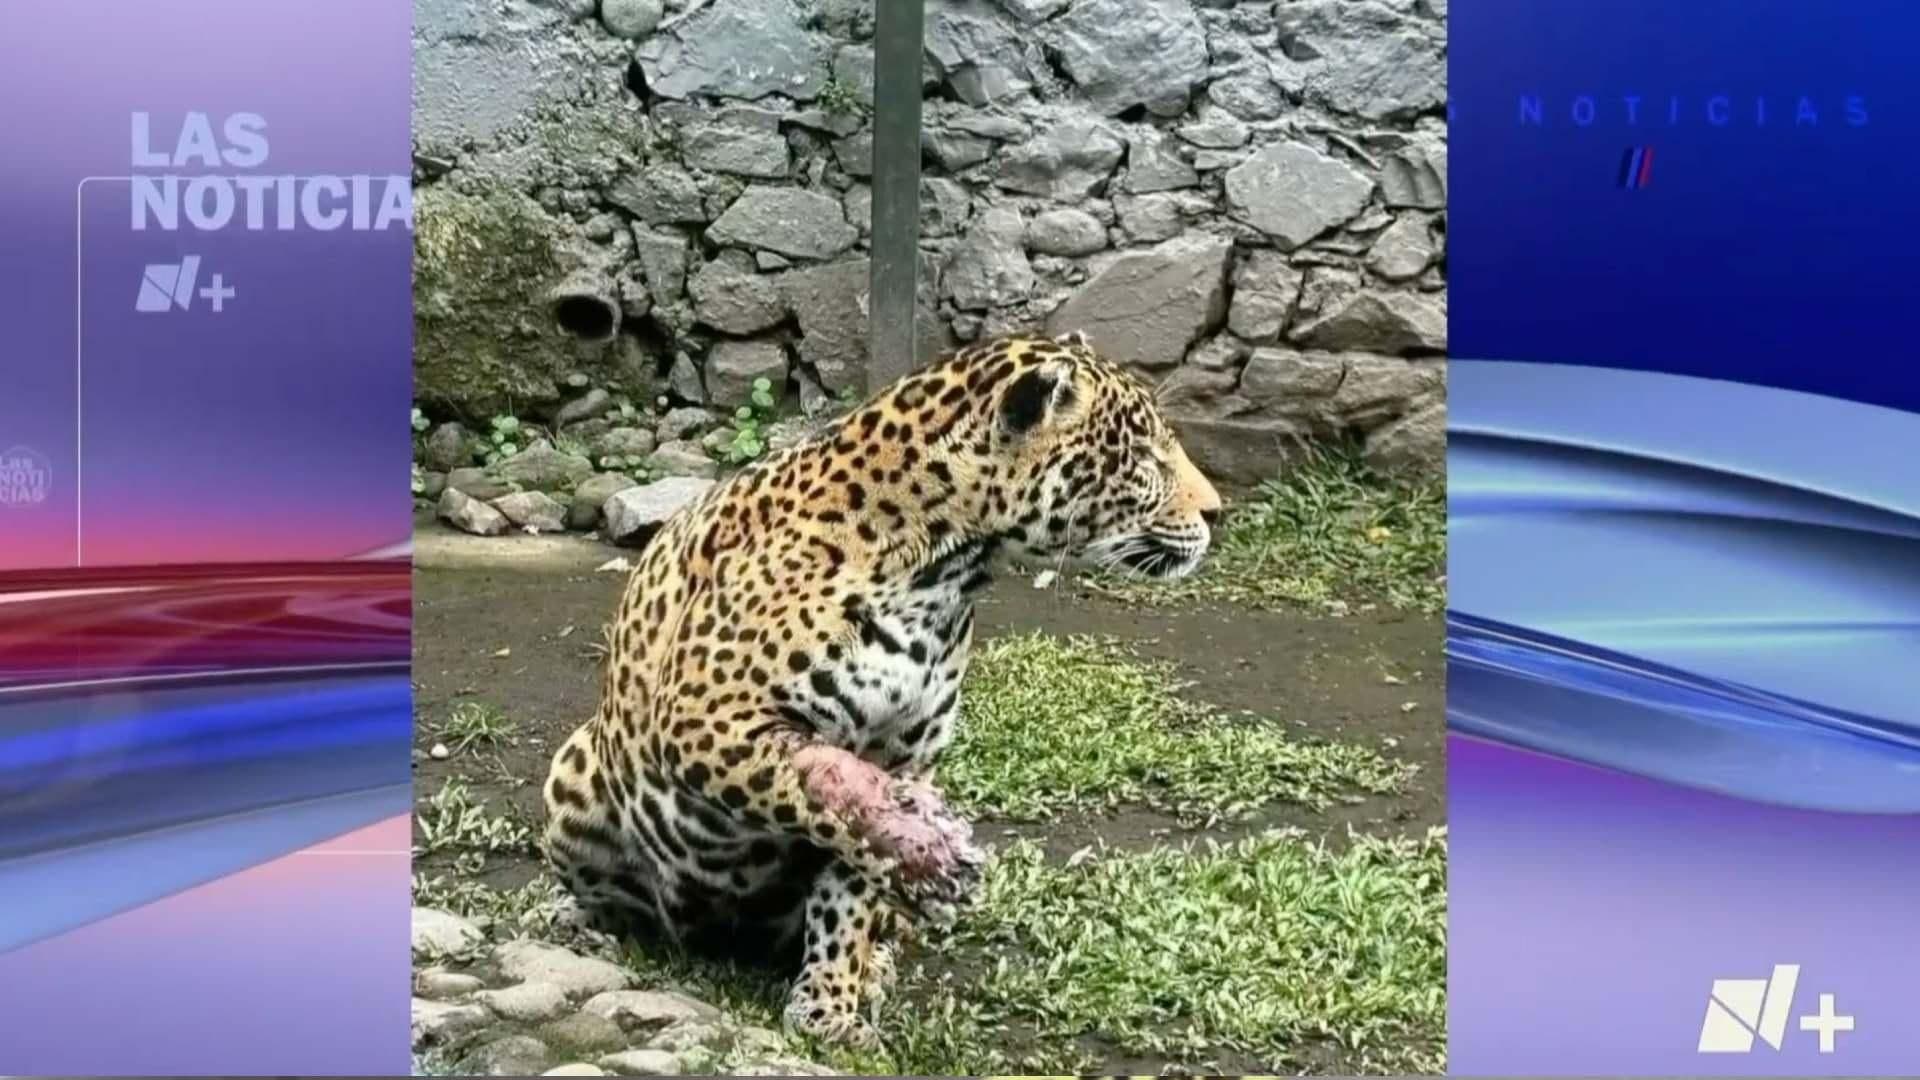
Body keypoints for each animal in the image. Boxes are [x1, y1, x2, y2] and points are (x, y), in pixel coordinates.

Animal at [541, 330, 1223, 1048]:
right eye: (1144, 457)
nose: (1217, 511)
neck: (946, 572)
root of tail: (717, 938)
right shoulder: (706, 716)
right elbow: (817, 783)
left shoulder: (905, 755)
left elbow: (851, 883)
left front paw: (832, 1001)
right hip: (574, 773)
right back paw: (589, 926)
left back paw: (878, 961)